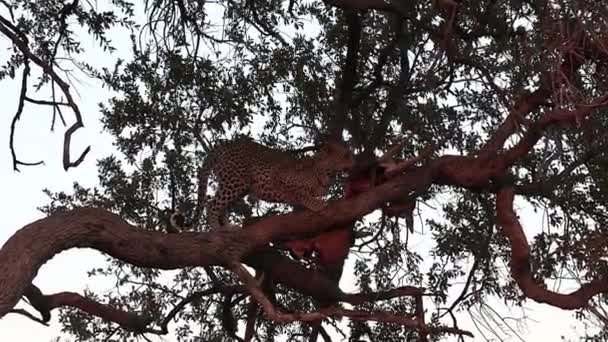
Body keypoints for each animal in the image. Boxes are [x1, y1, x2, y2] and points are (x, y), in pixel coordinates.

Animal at [192, 136, 354, 230]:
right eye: (346, 155)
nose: (355, 161)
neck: (326, 172)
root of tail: (223, 144)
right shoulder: (278, 177)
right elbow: (300, 193)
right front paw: (317, 204)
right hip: (235, 181)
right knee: (211, 204)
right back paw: (217, 229)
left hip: (238, 185)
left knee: (223, 206)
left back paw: (227, 227)